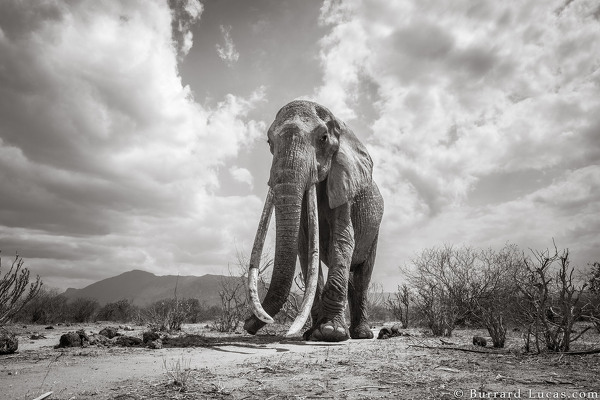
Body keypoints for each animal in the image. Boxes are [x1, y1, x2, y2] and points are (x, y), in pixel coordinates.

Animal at [244, 99, 384, 340]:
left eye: (323, 138)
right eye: (269, 141)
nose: (247, 325)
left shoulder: (344, 182)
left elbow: (343, 239)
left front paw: (330, 332)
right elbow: (306, 246)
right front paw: (313, 333)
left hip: (375, 230)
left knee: (363, 275)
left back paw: (362, 334)